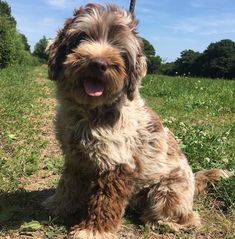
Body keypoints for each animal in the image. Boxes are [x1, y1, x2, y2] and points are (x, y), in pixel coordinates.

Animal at [43, 3, 226, 239]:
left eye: (120, 49)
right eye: (82, 37)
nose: (99, 63)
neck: (89, 112)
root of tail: (194, 183)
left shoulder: (117, 164)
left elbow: (105, 201)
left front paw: (93, 231)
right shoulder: (75, 157)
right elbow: (68, 183)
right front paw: (58, 205)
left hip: (166, 192)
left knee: (189, 217)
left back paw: (164, 223)